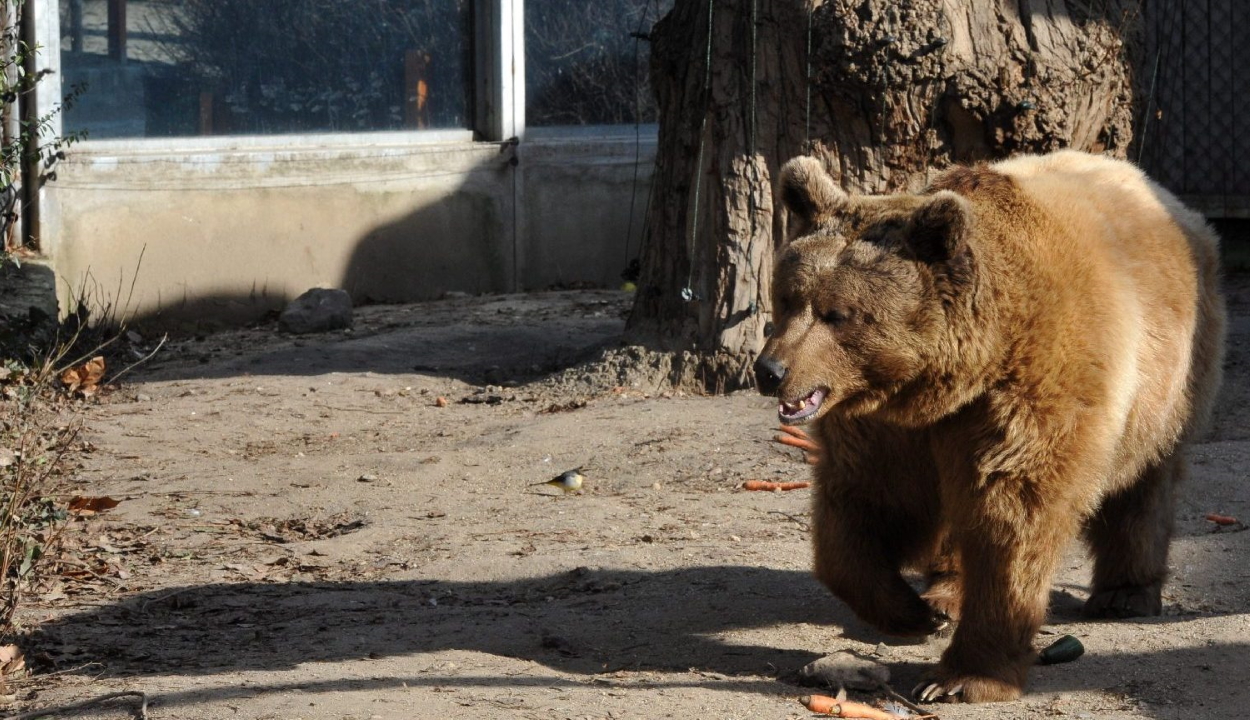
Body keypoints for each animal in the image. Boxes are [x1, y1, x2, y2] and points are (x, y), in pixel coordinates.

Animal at [755, 150, 1225, 705]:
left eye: (838, 314)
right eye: (787, 298)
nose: (770, 371)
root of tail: (1161, 192)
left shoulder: (1028, 390)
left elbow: (1012, 518)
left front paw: (959, 677)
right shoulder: (887, 427)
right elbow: (866, 507)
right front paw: (912, 613)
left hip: (1168, 381)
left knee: (1144, 484)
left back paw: (1125, 593)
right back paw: (946, 592)